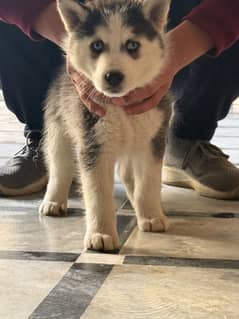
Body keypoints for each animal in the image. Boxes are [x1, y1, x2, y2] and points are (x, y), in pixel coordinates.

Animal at [40, 0, 172, 252]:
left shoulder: (153, 139)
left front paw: (150, 215)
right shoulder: (94, 143)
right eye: (97, 45)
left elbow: (148, 183)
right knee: (59, 165)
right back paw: (53, 200)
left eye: (132, 45)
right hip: (59, 124)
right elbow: (98, 193)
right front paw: (100, 234)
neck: (120, 105)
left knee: (127, 172)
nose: (113, 76)